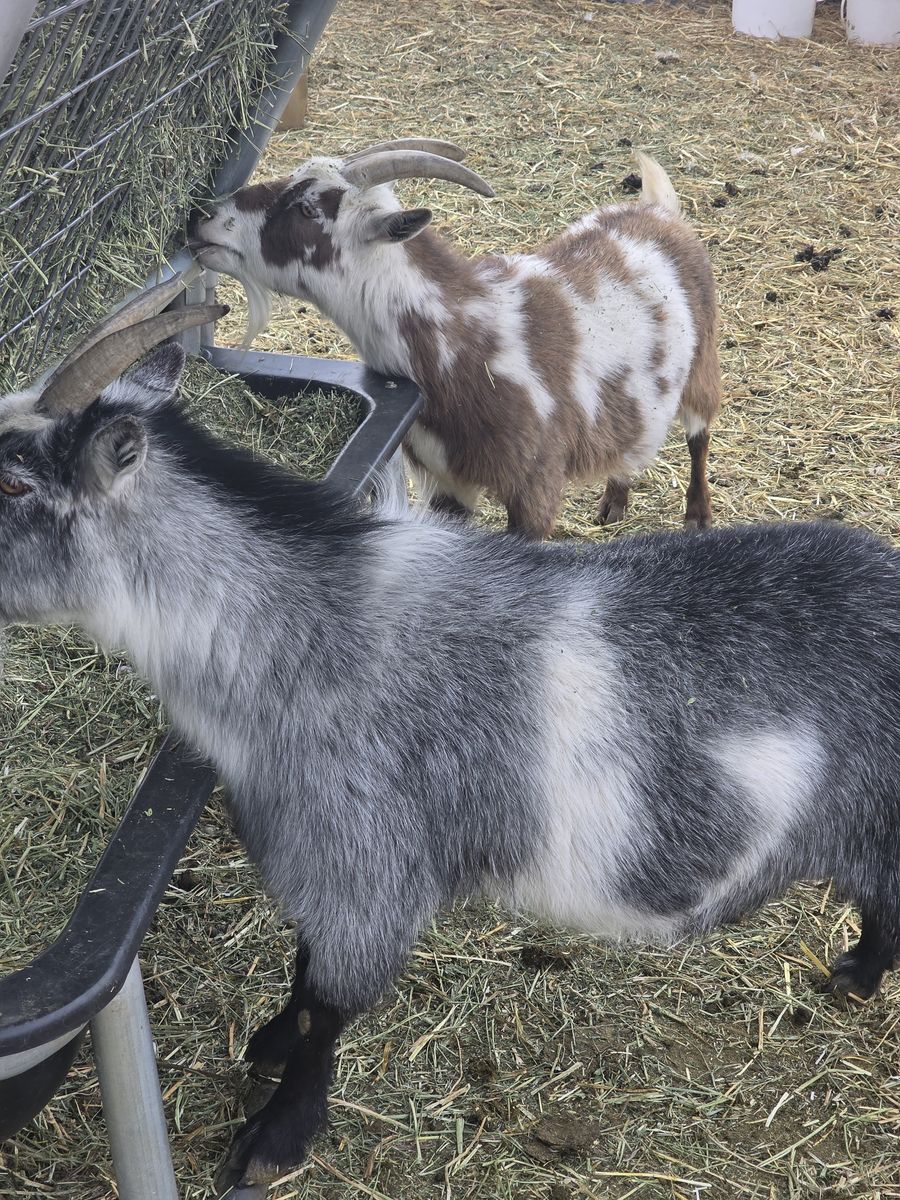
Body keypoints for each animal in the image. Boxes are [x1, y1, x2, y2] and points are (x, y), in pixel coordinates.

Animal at [2, 284, 898, 1193]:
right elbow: (302, 968)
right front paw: (269, 1042)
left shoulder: (366, 861)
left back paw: (858, 977)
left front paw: (276, 1137)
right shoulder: (322, 861)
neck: (305, 639)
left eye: (12, 478)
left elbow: (329, 1004)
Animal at [191, 137, 722, 538]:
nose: (204, 219)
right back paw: (615, 500)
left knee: (698, 435)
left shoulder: (536, 487)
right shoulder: (446, 484)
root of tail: (659, 212)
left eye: (306, 209)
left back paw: (697, 517)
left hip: (702, 363)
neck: (462, 336)